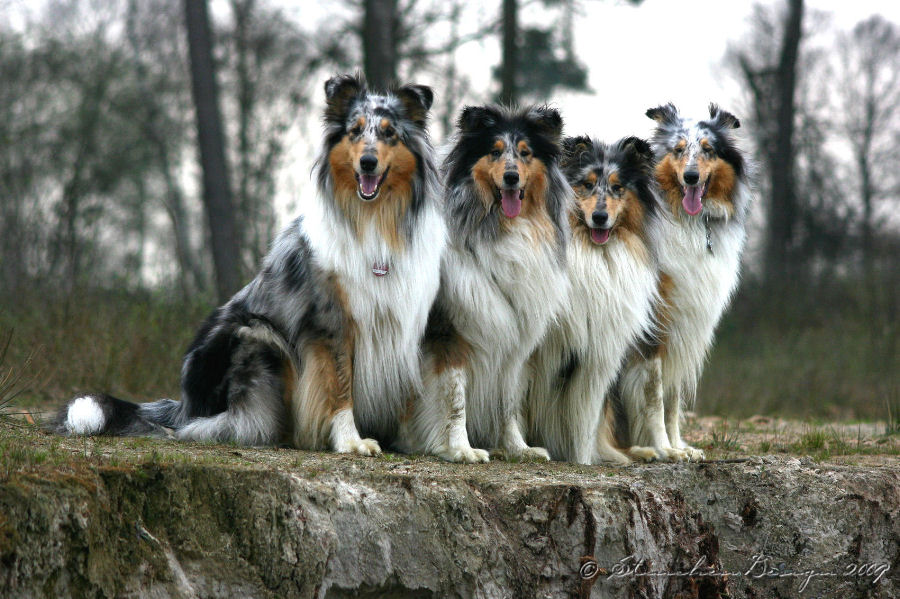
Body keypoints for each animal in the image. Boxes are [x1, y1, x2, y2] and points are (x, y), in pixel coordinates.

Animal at [55, 74, 442, 454]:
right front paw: (351, 441)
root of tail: (183, 407)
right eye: (355, 131)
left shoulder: (401, 319)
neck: (373, 219)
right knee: (219, 425)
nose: (368, 162)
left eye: (389, 133)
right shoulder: (330, 321)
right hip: (259, 335)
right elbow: (339, 384)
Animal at [400, 104, 568, 464]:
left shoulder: (514, 340)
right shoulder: (448, 334)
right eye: (494, 151)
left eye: (525, 153)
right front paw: (459, 449)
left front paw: (519, 448)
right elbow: (455, 397)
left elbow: (508, 401)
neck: (502, 227)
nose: (511, 177)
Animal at [528, 136, 660, 464]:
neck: (592, 253)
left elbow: (585, 415)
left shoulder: (597, 355)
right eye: (586, 185)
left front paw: (582, 460)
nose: (600, 217)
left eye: (617, 187)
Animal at [612, 103, 752, 462]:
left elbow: (673, 398)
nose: (690, 177)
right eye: (677, 150)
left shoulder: (683, 329)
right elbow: (654, 395)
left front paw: (679, 446)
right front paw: (664, 448)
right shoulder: (653, 328)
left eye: (708, 149)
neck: (693, 223)